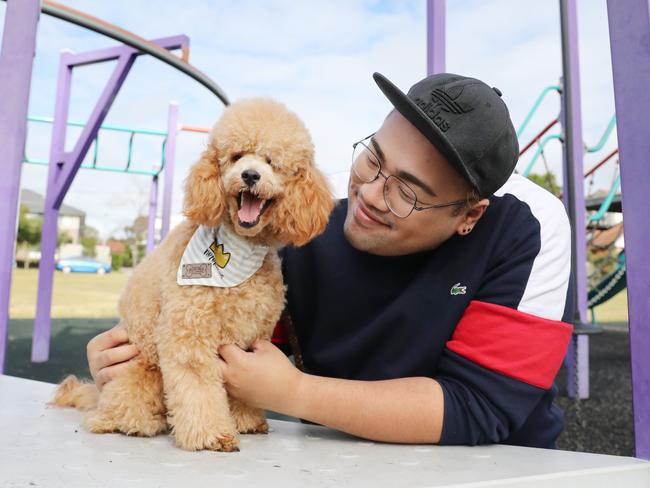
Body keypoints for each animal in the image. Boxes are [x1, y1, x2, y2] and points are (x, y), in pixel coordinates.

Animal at [49, 99, 334, 454]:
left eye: (272, 162)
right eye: (236, 156)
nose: (250, 175)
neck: (238, 251)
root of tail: (97, 399)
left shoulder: (252, 334)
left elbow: (243, 389)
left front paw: (246, 420)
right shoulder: (188, 332)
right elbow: (198, 385)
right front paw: (211, 434)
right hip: (140, 369)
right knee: (115, 412)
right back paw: (136, 422)